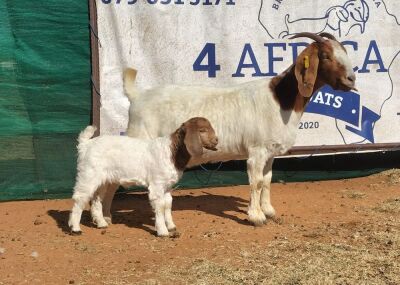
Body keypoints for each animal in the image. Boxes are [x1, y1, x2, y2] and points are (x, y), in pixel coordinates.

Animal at [110, 32, 356, 225]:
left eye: (344, 52)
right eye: (325, 56)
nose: (351, 79)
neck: (280, 100)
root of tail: (137, 96)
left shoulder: (270, 153)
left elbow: (268, 180)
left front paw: (269, 210)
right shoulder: (256, 151)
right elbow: (256, 182)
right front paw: (256, 217)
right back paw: (105, 218)